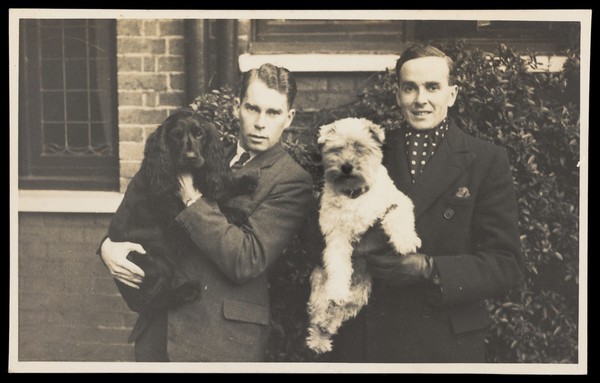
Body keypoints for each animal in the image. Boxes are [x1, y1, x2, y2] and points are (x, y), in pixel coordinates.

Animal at [308, 117, 420, 354]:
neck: (355, 194)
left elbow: (396, 215)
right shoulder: (336, 235)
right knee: (320, 317)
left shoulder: (397, 202)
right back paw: (320, 338)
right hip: (318, 290)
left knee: (338, 315)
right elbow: (338, 264)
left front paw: (405, 242)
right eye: (337, 149)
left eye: (360, 147)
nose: (346, 167)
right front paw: (338, 289)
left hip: (360, 295)